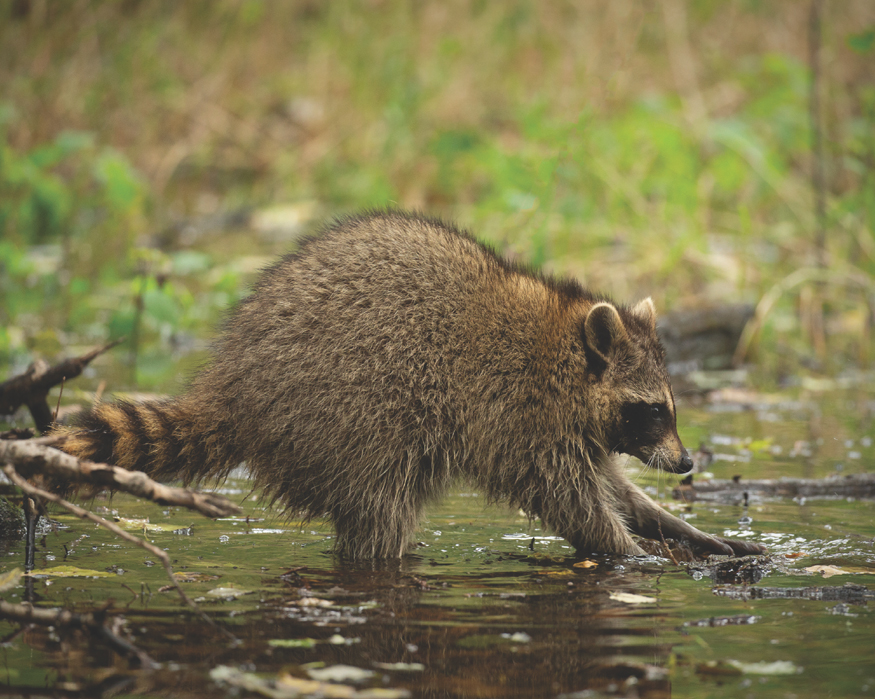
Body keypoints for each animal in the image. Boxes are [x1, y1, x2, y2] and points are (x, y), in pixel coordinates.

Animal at [58, 211, 768, 560]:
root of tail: (235, 383)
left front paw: (681, 532)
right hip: (345, 416)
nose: (687, 462)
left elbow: (615, 490)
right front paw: (631, 553)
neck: (564, 358)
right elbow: (573, 503)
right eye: (651, 411)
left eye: (670, 409)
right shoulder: (521, 420)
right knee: (379, 516)